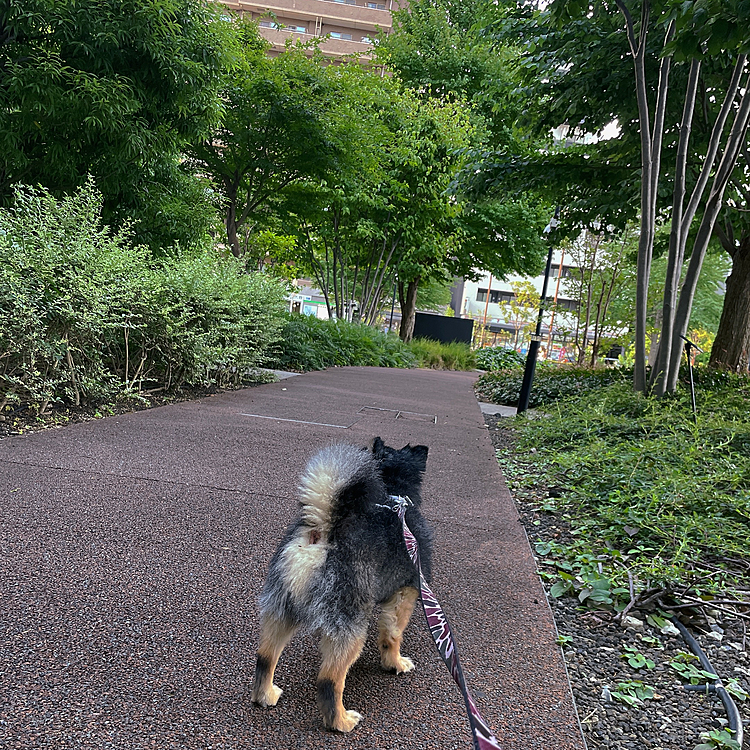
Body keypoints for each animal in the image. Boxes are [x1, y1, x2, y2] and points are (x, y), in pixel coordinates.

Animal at [250, 438, 432, 732]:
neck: (394, 493)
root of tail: (322, 533)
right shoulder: (405, 593)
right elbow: (392, 637)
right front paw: (395, 663)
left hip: (281, 609)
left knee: (265, 658)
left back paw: (265, 695)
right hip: (350, 626)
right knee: (329, 680)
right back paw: (341, 721)